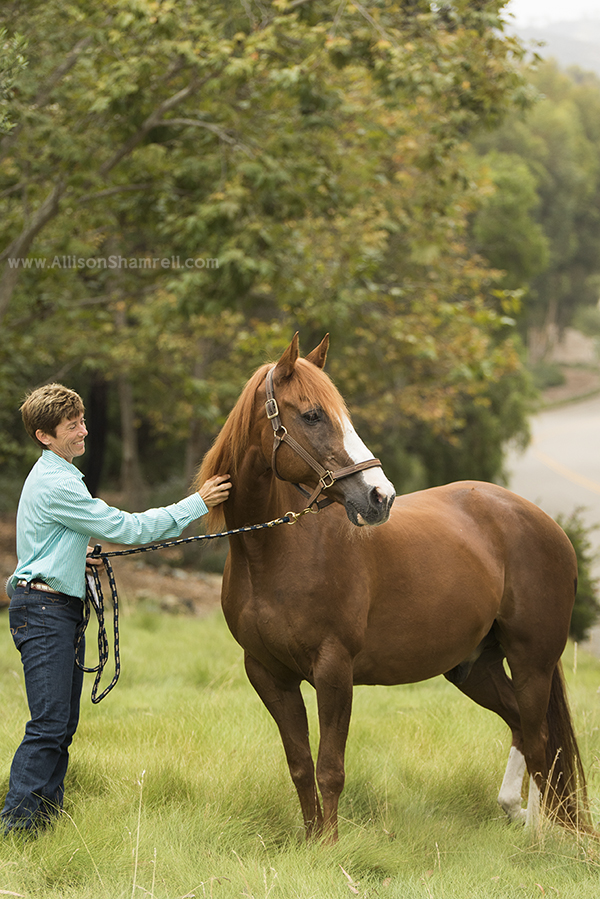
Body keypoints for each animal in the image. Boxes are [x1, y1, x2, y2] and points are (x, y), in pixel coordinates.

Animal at [195, 333, 591, 840]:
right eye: (312, 415)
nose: (379, 497)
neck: (279, 552)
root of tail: (547, 524)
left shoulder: (334, 670)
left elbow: (330, 768)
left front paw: (330, 846)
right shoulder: (269, 675)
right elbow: (300, 766)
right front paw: (311, 841)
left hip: (532, 662)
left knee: (542, 741)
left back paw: (537, 834)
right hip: (474, 667)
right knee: (524, 728)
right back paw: (517, 814)